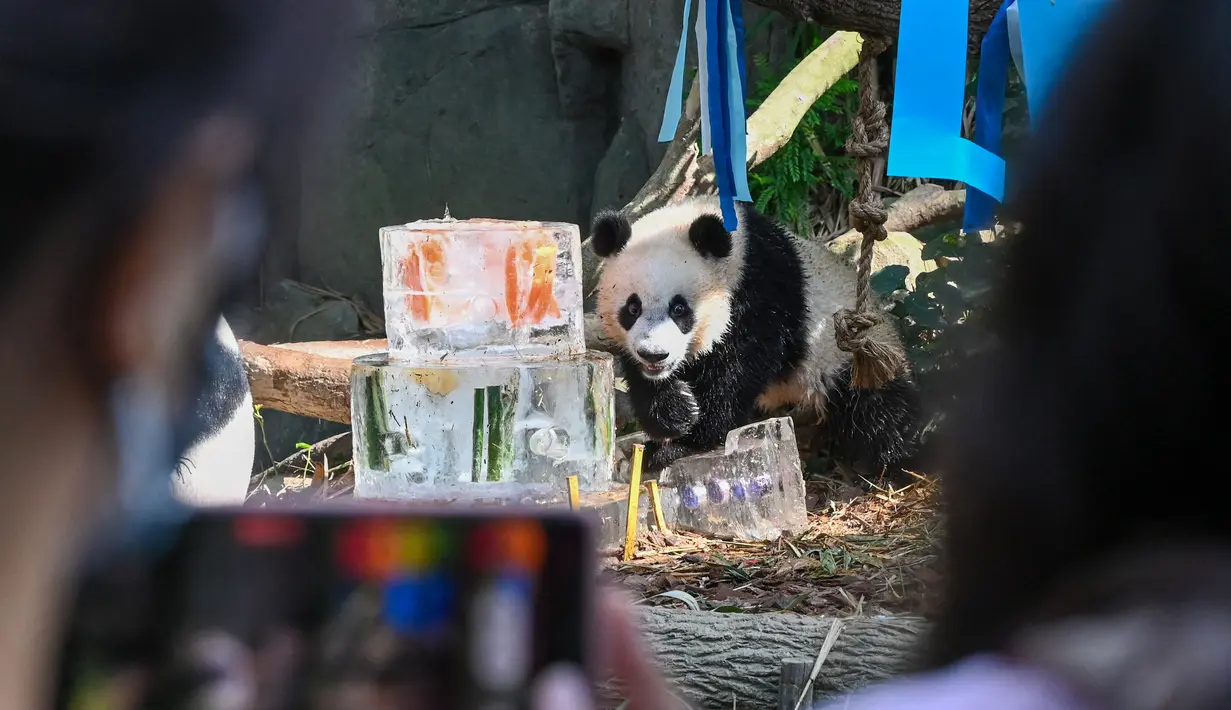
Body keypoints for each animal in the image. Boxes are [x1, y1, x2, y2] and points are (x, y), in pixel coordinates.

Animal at [591, 196, 922, 477]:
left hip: (850, 356)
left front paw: (688, 441)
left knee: (876, 411)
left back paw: (896, 461)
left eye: (679, 308)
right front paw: (677, 411)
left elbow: (740, 366)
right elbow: (642, 380)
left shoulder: (763, 292)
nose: (655, 354)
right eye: (632, 308)